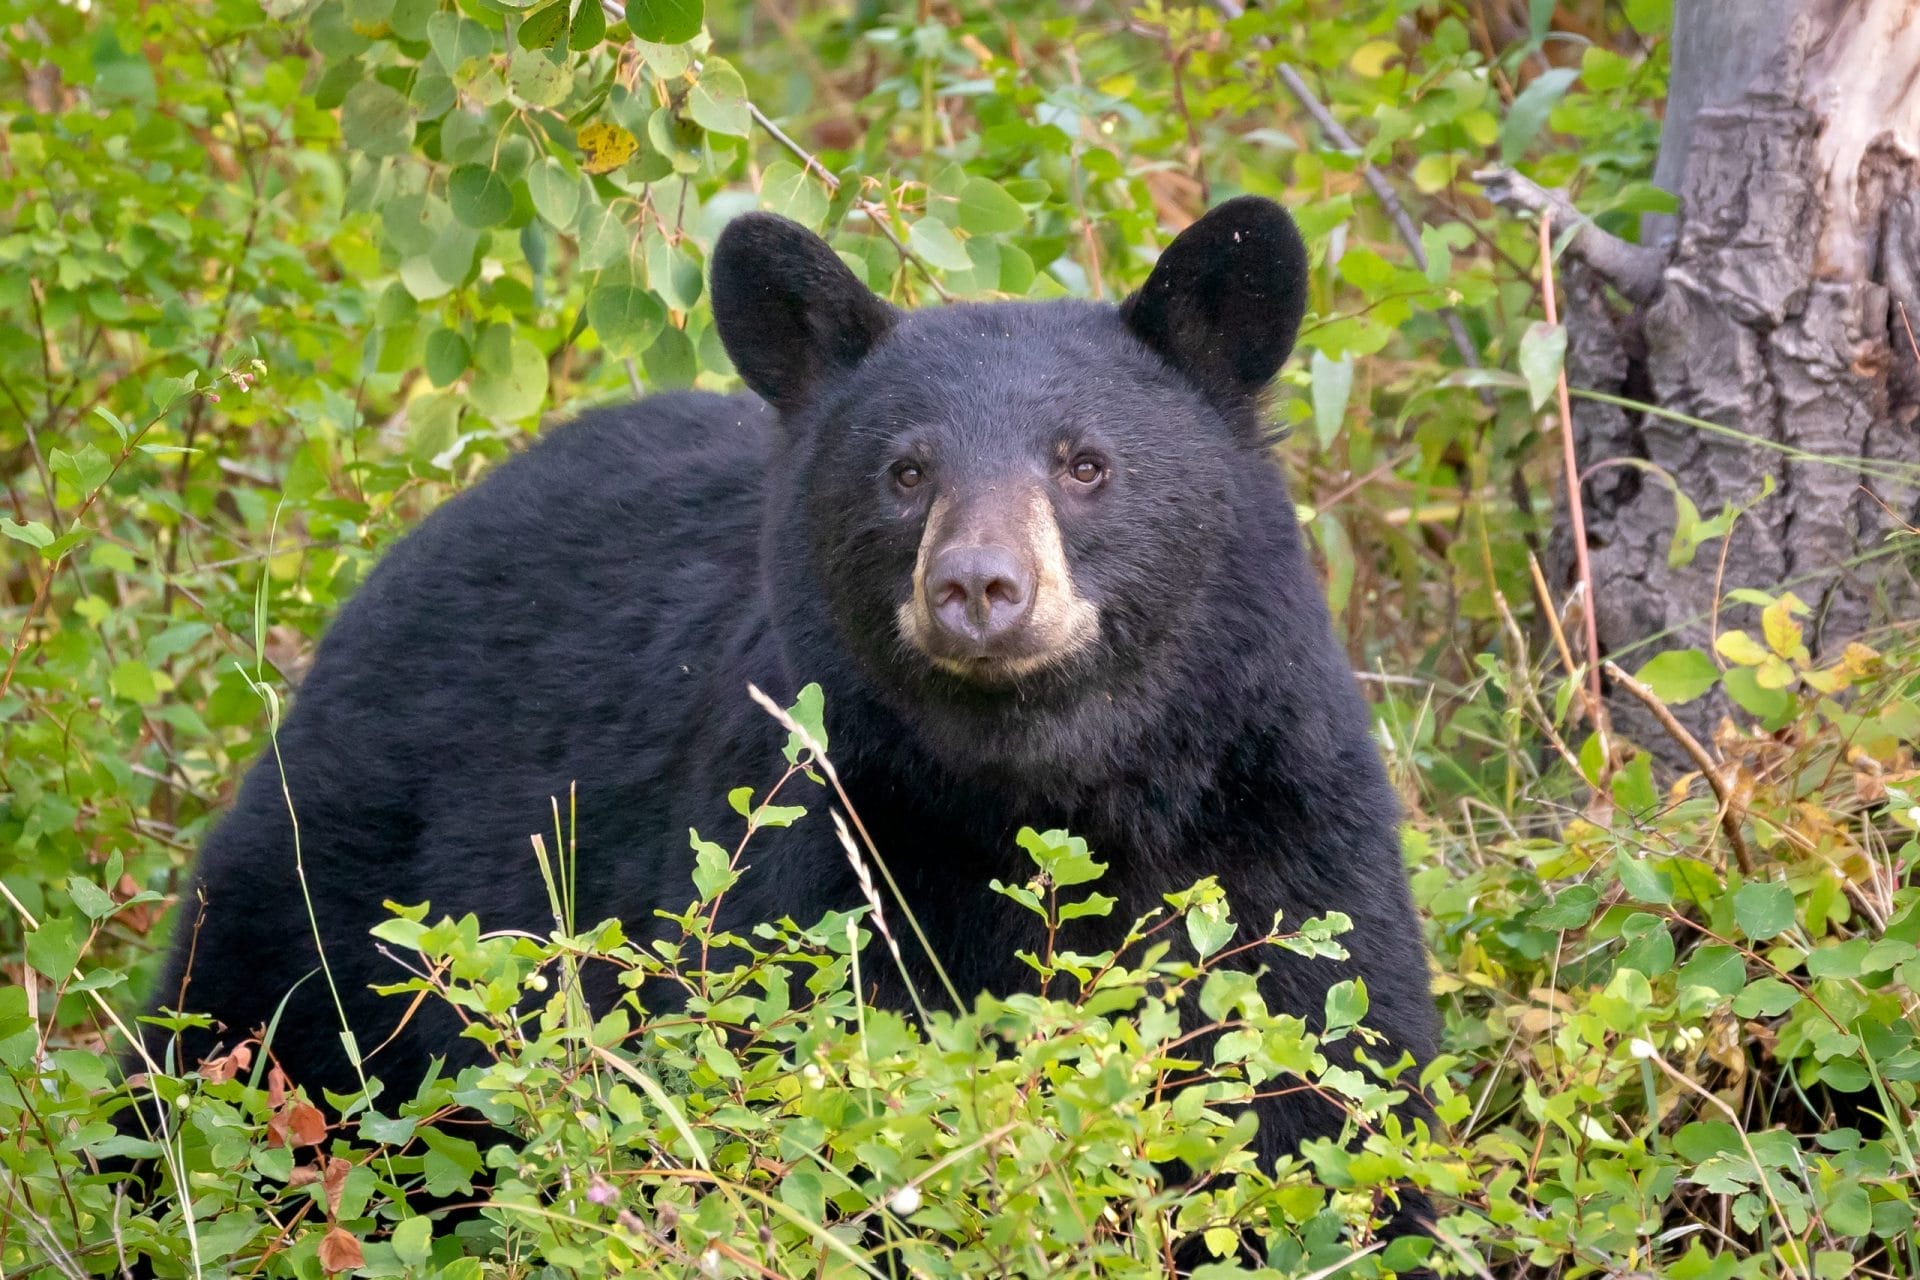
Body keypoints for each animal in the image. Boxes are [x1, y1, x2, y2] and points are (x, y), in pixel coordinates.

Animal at [126, 196, 1437, 1228]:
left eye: (1086, 464)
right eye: (906, 471)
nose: (979, 587)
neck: (1044, 784)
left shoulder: (1277, 818)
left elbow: (1330, 1075)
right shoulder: (813, 842)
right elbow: (794, 1076)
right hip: (333, 896)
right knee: (227, 1048)